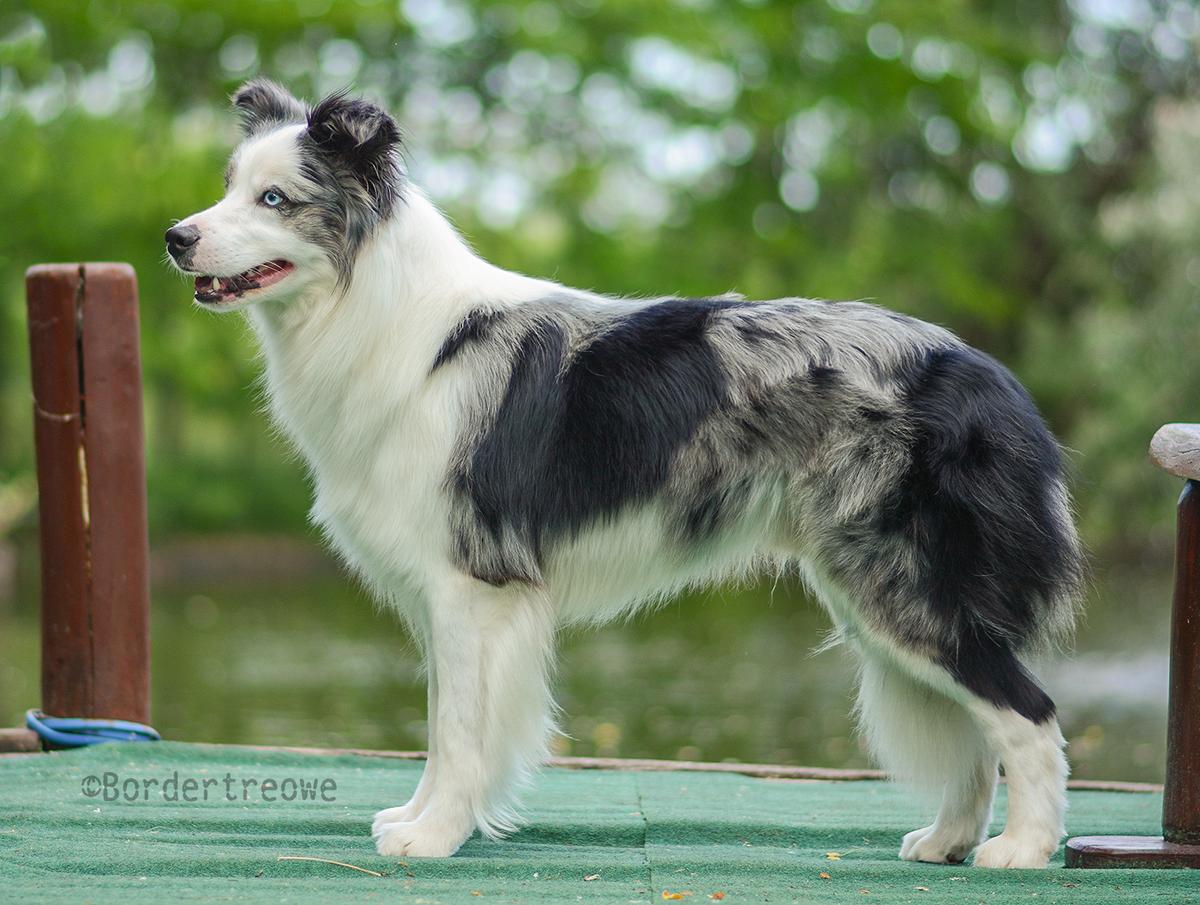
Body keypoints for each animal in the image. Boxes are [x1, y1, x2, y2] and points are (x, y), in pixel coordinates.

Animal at [164, 81, 1084, 864]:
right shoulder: (441, 590)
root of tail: (988, 377)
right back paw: (948, 841)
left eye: (275, 199)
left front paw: (435, 837)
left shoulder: (471, 581)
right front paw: (422, 818)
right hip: (880, 594)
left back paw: (1022, 849)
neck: (383, 316)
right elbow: (439, 723)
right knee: (974, 730)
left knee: (1027, 715)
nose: (176, 237)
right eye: (229, 186)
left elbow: (459, 728)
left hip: (908, 587)